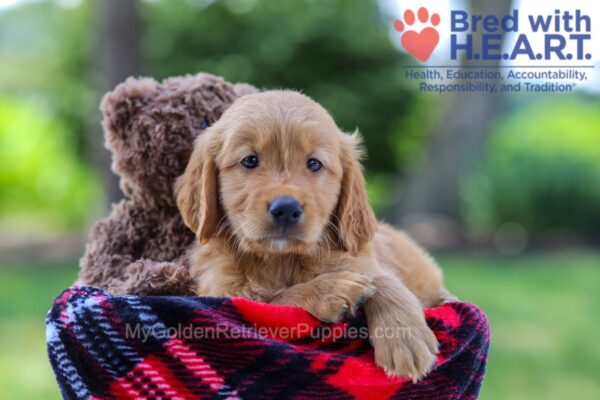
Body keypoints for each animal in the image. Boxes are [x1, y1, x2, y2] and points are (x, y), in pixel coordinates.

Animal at [176, 89, 452, 380]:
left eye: (314, 164)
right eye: (249, 160)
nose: (286, 209)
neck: (281, 258)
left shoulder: (362, 260)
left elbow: (385, 281)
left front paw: (405, 338)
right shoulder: (221, 288)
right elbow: (273, 300)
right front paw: (331, 291)